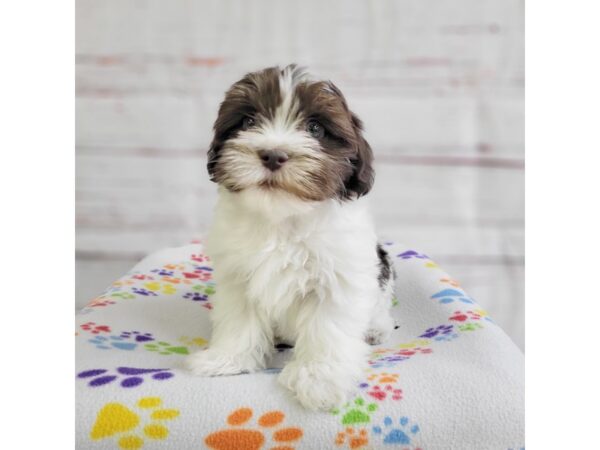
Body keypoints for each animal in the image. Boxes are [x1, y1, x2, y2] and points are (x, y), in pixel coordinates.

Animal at [185, 64, 396, 412]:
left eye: (315, 128)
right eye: (248, 121)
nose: (273, 155)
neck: (282, 219)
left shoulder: (338, 277)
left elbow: (327, 329)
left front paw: (320, 379)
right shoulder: (238, 279)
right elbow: (239, 319)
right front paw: (227, 359)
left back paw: (375, 330)